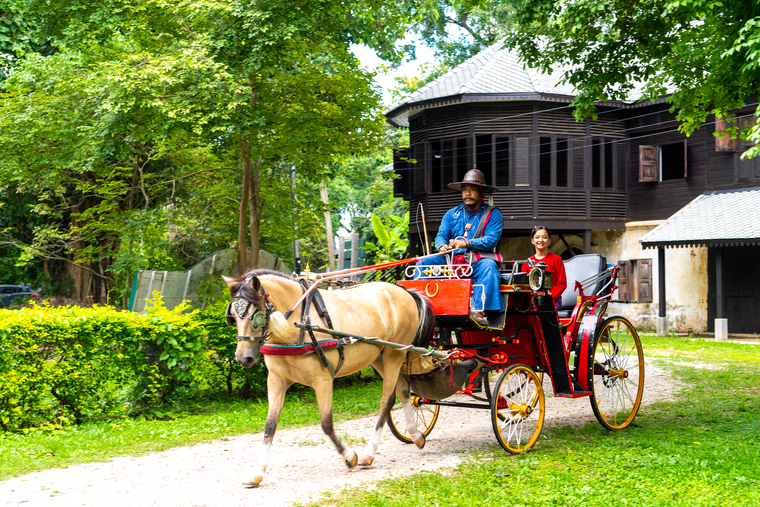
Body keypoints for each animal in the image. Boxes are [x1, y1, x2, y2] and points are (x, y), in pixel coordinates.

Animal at [221, 270, 434, 488]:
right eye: (233, 317)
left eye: (257, 315)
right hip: (379, 357)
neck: (296, 325)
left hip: (395, 353)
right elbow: (270, 426)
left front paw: (350, 456)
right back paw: (415, 434)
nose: (243, 358)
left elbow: (326, 423)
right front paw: (257, 472)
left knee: (387, 400)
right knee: (403, 390)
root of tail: (404, 291)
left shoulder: (322, 380)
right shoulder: (276, 381)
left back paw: (369, 452)